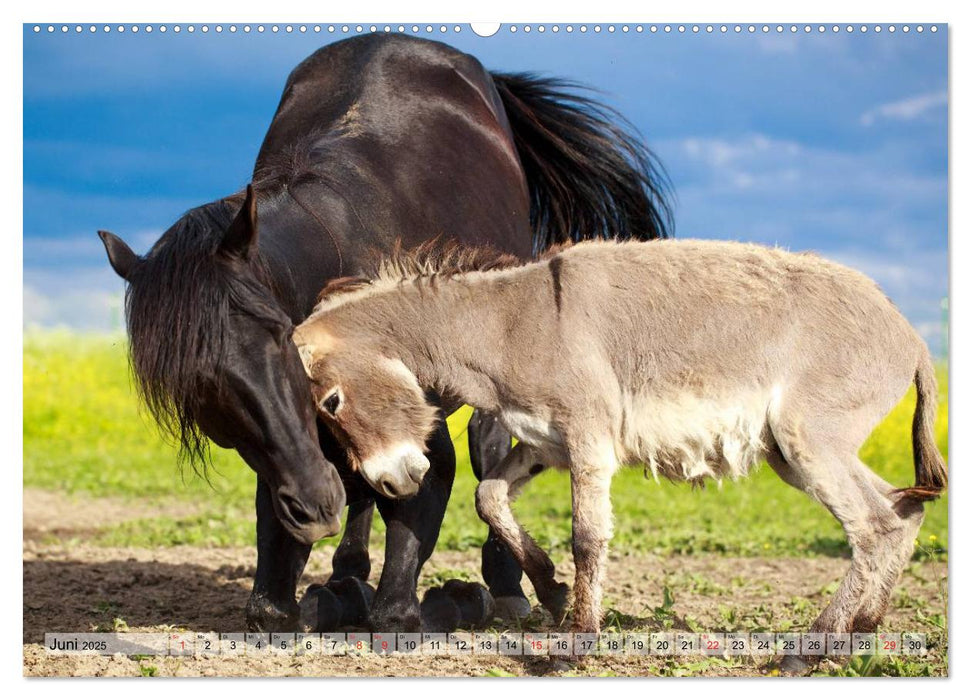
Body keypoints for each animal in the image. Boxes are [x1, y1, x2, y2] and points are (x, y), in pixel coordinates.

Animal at [100, 34, 676, 636]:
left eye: (280, 334)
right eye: (198, 385)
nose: (315, 505)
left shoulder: (417, 432)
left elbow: (401, 584)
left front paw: (447, 600)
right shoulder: (293, 452)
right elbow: (272, 592)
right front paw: (325, 591)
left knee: (486, 447)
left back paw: (505, 584)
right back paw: (346, 572)